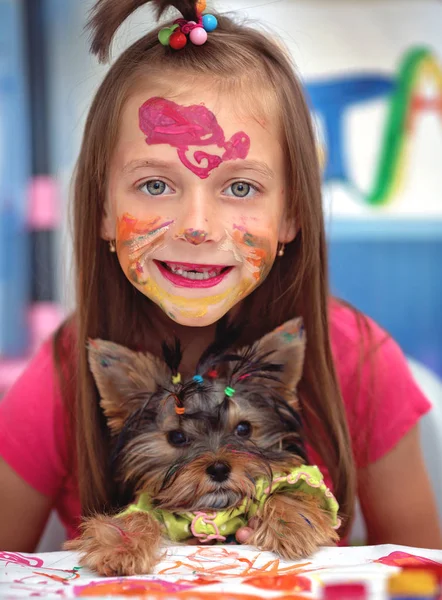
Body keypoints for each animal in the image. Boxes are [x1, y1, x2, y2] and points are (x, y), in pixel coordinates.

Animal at [65, 318, 340, 576]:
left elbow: (286, 490)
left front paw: (293, 526)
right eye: (177, 437)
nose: (218, 469)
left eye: (243, 429)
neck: (212, 509)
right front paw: (122, 547)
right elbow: (138, 516)